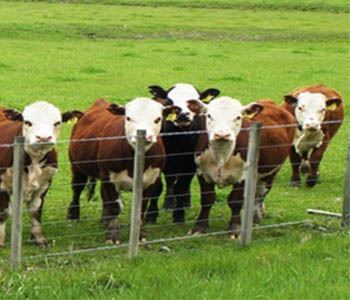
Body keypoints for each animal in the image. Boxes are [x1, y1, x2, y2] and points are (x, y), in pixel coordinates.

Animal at [0, 102, 82, 247]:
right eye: (27, 122)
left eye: (57, 122)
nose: (43, 138)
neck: (33, 162)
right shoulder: (2, 184)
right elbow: (4, 212)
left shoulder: (44, 184)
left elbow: (35, 211)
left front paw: (39, 238)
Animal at [67, 98, 171, 244]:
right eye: (128, 118)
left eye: (158, 119)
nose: (146, 137)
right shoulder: (108, 177)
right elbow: (115, 206)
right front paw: (112, 236)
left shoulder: (152, 179)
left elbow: (141, 207)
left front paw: (140, 235)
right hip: (77, 167)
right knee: (77, 189)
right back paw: (73, 215)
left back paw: (104, 219)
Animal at [147, 82, 220, 223]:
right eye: (170, 101)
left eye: (195, 103)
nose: (182, 114)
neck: (179, 139)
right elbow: (158, 187)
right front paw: (151, 215)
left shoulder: (190, 164)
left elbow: (181, 187)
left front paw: (179, 215)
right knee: (170, 181)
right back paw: (169, 203)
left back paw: (185, 203)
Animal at [186, 97, 296, 238]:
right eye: (209, 115)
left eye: (238, 117)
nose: (222, 134)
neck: (222, 155)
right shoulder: (202, 173)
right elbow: (207, 199)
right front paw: (199, 226)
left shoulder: (243, 175)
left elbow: (235, 201)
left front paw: (235, 228)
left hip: (271, 172)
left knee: (260, 194)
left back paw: (255, 218)